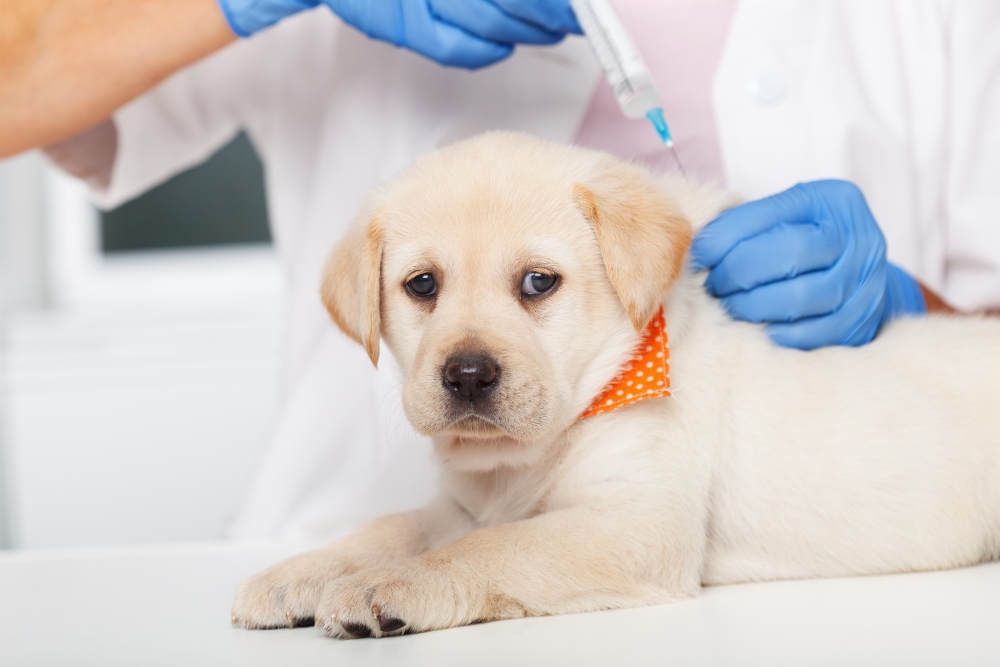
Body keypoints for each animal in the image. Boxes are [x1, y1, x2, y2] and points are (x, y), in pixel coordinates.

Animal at [229, 133, 1000, 640]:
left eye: (538, 283)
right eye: (422, 285)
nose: (468, 375)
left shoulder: (635, 523)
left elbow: (490, 548)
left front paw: (388, 584)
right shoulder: (467, 503)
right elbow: (396, 526)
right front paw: (303, 571)